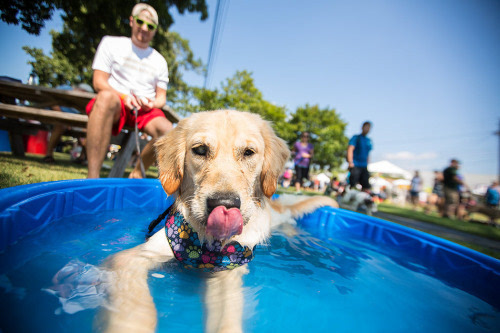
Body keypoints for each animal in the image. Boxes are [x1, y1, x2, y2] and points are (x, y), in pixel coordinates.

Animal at [99, 110, 338, 330]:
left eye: (248, 152)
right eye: (200, 150)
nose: (224, 204)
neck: (205, 247)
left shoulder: (228, 273)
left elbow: (227, 319)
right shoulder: (133, 258)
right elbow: (136, 306)